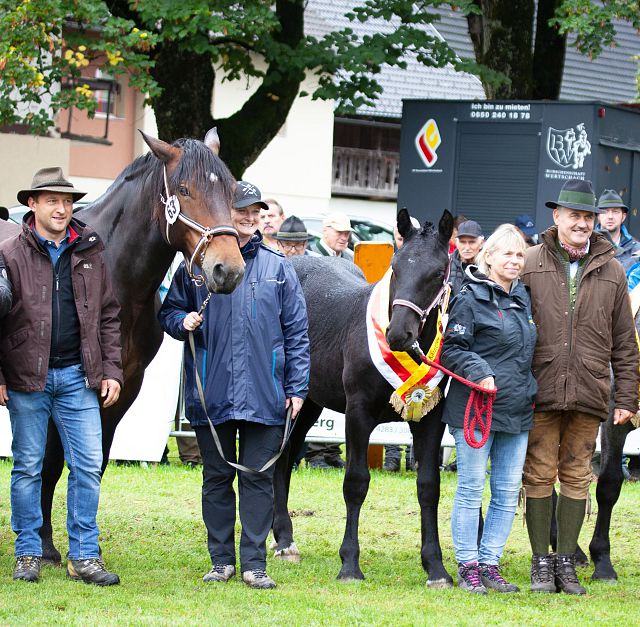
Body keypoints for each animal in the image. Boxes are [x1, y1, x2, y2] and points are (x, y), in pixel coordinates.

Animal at [0, 126, 244, 560]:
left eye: (231, 192)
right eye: (184, 189)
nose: (227, 269)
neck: (113, 272)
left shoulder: (122, 388)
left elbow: (92, 464)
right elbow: (48, 464)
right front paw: (44, 544)